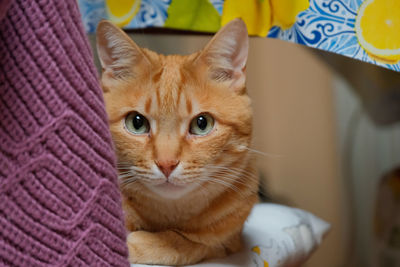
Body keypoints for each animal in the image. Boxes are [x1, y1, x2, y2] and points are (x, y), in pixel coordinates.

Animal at [97, 18, 260, 266]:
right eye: (137, 123)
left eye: (202, 124)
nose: (166, 164)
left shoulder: (229, 242)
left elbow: (184, 244)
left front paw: (142, 242)